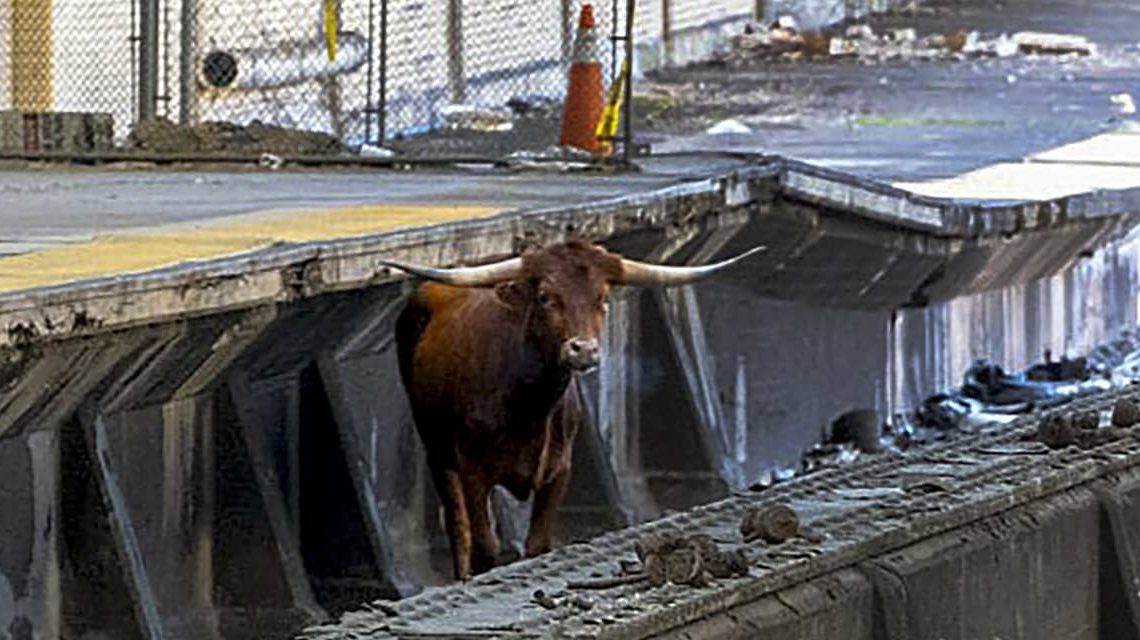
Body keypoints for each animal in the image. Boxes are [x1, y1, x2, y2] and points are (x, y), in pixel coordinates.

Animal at [381, 240, 763, 580]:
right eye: (546, 297)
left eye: (603, 298)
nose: (584, 350)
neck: (528, 407)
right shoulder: (473, 470)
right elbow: (484, 547)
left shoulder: (558, 470)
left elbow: (537, 545)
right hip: (437, 450)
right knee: (458, 527)